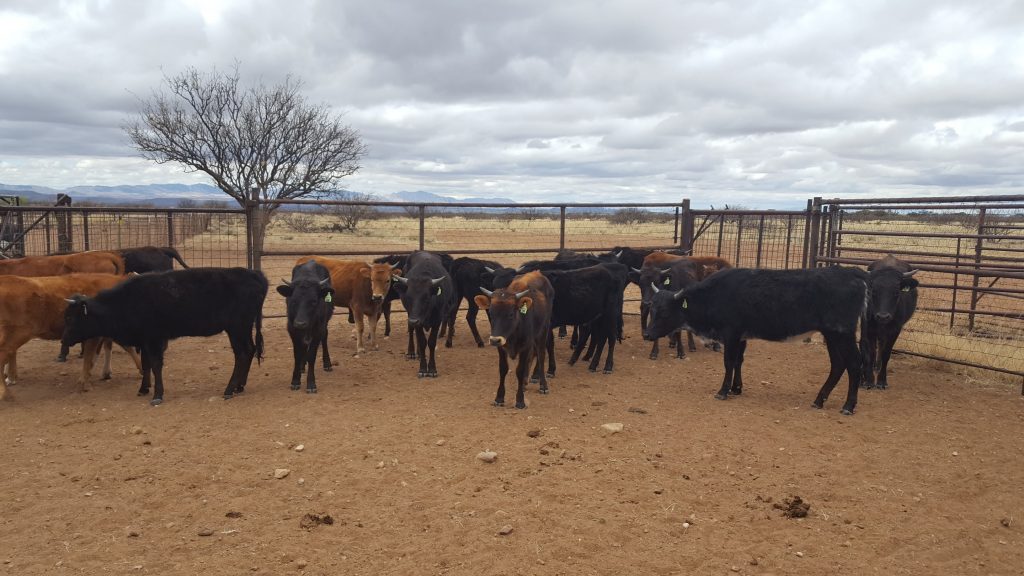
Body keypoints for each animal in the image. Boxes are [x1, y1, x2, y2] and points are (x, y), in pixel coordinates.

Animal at [62, 267, 267, 405]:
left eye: (71, 318)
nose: (64, 340)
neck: (127, 301)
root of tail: (255, 275)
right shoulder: (145, 340)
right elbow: (146, 364)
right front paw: (144, 388)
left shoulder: (154, 339)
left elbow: (155, 365)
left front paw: (157, 395)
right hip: (242, 329)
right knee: (249, 350)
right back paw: (239, 386)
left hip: (237, 328)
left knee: (242, 353)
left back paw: (229, 389)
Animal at [277, 260, 334, 393]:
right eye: (293, 300)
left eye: (313, 301)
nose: (300, 323)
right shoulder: (292, 329)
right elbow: (297, 354)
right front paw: (295, 380)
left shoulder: (318, 330)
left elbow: (312, 355)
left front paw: (311, 384)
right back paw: (302, 366)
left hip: (324, 324)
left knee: (324, 337)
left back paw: (327, 363)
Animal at [475, 270, 554, 409]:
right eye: (491, 313)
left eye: (511, 314)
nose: (494, 340)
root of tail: (538, 272)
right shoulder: (502, 347)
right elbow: (503, 369)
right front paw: (499, 397)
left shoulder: (525, 346)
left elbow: (520, 370)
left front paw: (520, 400)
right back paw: (525, 383)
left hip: (544, 329)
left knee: (540, 354)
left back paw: (543, 385)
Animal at [644, 266, 869, 415]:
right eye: (652, 309)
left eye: (664, 312)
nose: (647, 335)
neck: (715, 294)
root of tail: (852, 272)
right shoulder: (742, 337)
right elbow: (738, 361)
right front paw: (736, 388)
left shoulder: (731, 334)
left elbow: (729, 362)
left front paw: (723, 391)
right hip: (832, 335)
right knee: (838, 365)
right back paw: (819, 399)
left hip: (842, 334)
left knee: (853, 363)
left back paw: (848, 405)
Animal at [860, 255, 919, 390]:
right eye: (874, 291)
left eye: (896, 292)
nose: (883, 316)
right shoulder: (870, 329)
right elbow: (871, 352)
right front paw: (869, 380)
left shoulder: (895, 330)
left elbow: (886, 353)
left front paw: (881, 381)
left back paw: (877, 366)